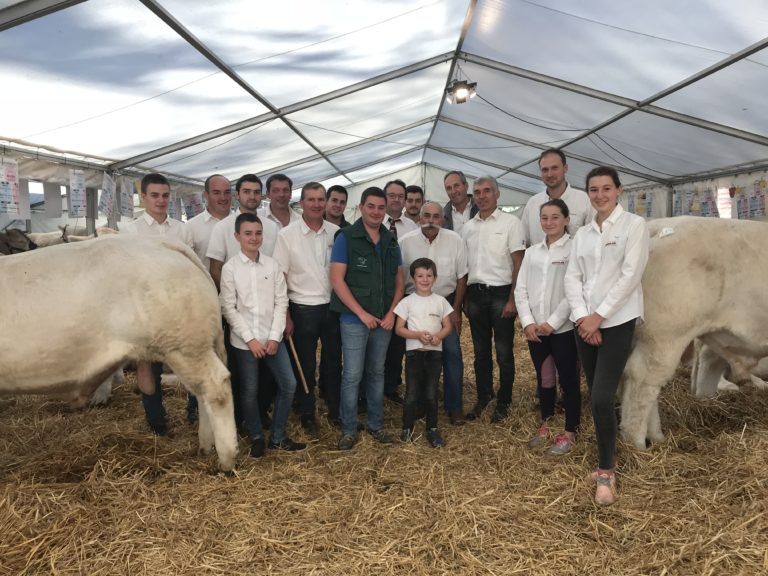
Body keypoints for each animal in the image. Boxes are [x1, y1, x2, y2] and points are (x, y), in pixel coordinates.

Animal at [0, 236, 238, 470]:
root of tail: (161, 242)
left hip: (183, 346)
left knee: (216, 387)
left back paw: (226, 459)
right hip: (189, 347)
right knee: (200, 393)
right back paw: (205, 446)